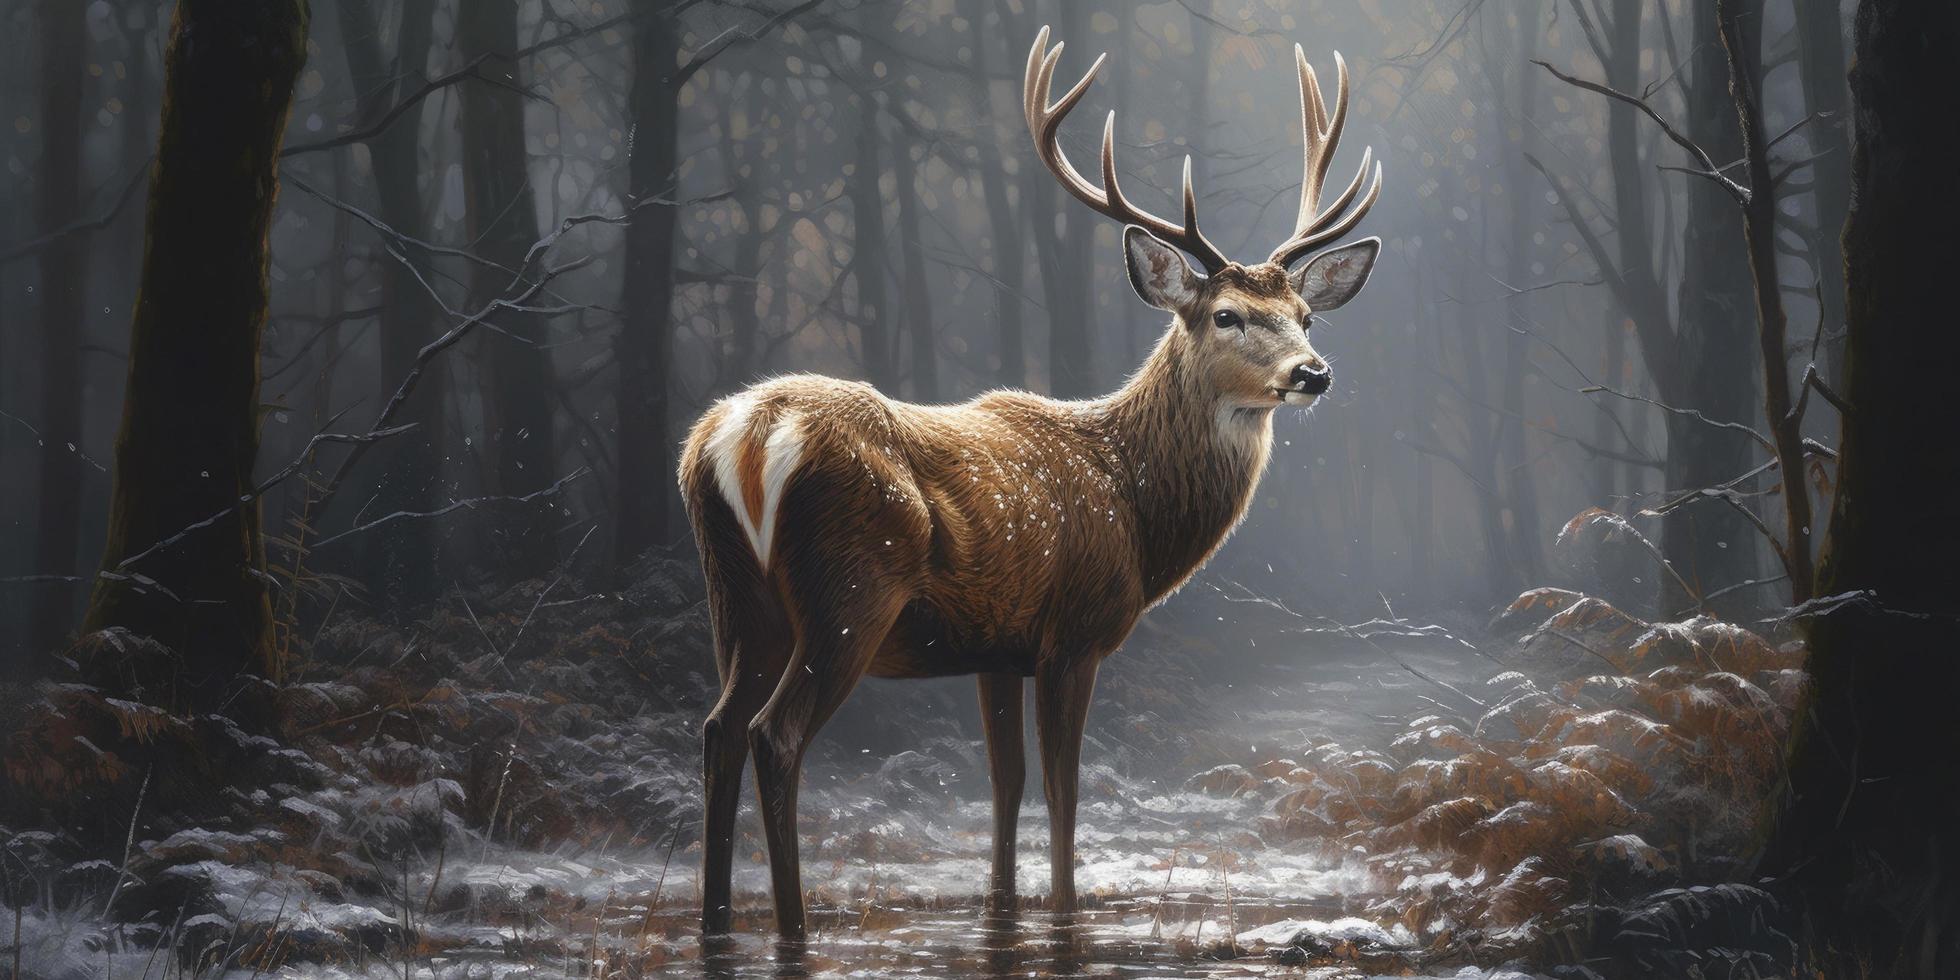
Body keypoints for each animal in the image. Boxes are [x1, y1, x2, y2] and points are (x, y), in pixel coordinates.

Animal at [682, 26, 1387, 936]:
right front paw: (1062, 914)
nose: (1312, 373)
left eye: (1305, 316)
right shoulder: (1073, 632)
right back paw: (794, 926)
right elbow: (1062, 790)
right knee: (776, 735)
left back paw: (715, 920)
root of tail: (741, 437)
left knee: (718, 729)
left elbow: (1005, 785)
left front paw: (1003, 908)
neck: (1135, 508)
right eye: (1227, 315)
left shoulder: (996, 647)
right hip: (848, 590)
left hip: (736, 597)